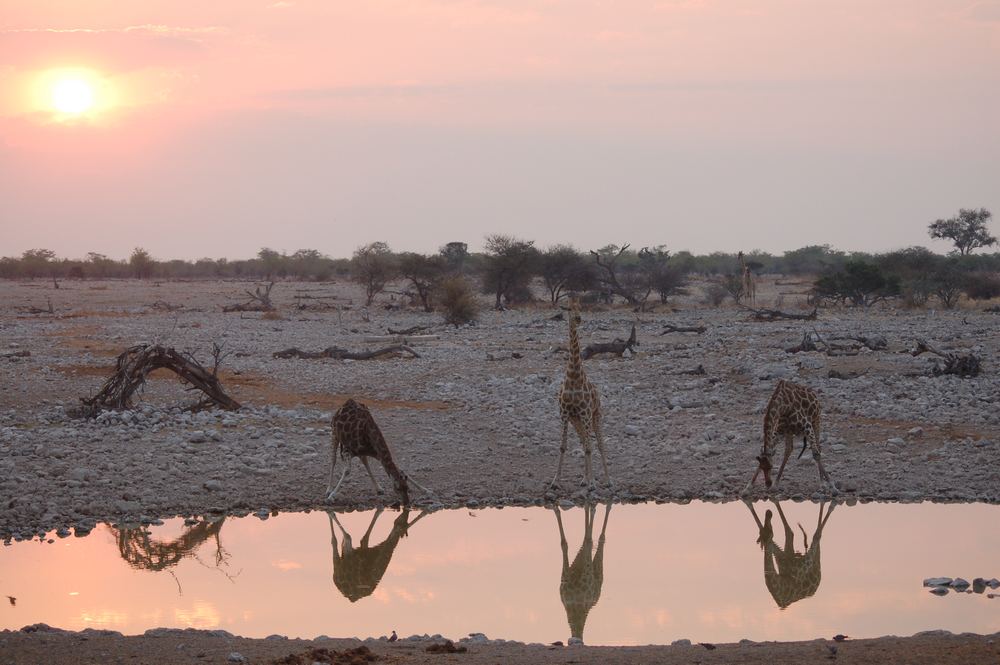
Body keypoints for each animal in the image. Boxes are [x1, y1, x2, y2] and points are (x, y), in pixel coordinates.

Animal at [552, 298, 612, 490]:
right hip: (576, 420)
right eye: (569, 309)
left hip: (595, 416)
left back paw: (607, 480)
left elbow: (590, 447)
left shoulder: (585, 413)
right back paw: (584, 479)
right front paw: (556, 481)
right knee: (584, 440)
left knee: (598, 444)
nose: (578, 319)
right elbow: (563, 446)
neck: (573, 377)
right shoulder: (565, 414)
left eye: (581, 307)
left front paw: (593, 483)